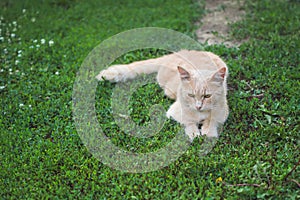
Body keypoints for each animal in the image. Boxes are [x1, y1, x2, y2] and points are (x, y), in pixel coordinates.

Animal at [97, 49, 229, 141]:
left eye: (207, 96)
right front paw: (194, 134)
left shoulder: (223, 112)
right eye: (191, 95)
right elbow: (188, 122)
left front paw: (208, 133)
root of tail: (176, 53)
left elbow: (212, 120)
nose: (198, 106)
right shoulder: (173, 112)